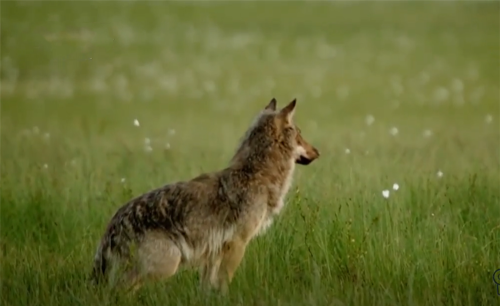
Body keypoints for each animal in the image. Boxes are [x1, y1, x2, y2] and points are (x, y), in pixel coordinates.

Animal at [90, 98, 320, 294]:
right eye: (299, 133)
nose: (318, 152)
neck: (257, 175)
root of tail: (113, 224)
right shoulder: (237, 244)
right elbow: (224, 284)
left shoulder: (214, 252)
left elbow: (207, 288)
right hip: (167, 265)